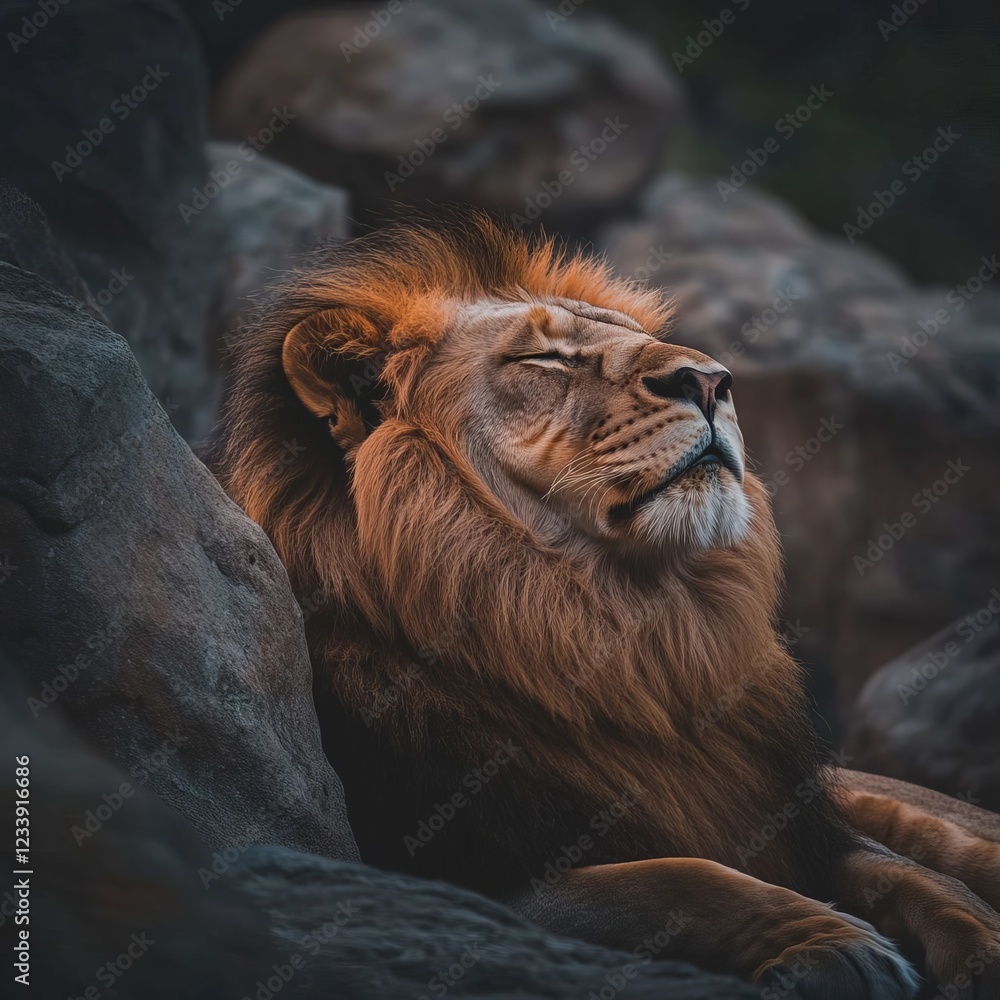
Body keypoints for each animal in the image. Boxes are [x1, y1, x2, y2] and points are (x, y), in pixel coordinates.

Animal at [213, 213, 1000, 998]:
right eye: (546, 358)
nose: (712, 380)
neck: (632, 636)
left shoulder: (808, 827)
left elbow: (917, 879)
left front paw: (981, 946)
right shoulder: (457, 877)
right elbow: (681, 878)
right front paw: (833, 942)